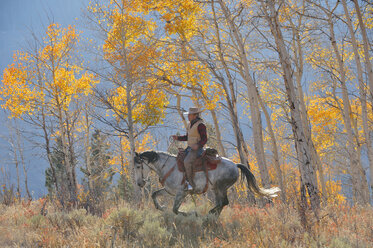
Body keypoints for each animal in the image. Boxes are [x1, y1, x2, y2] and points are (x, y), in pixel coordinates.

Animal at [134, 150, 280, 216]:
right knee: (221, 203)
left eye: (138, 166)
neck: (169, 167)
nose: (140, 184)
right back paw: (213, 215)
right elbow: (154, 194)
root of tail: (235, 165)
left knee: (224, 202)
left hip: (221, 187)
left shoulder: (181, 193)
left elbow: (175, 209)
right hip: (216, 189)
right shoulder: (171, 192)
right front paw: (161, 207)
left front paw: (191, 214)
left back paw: (210, 213)